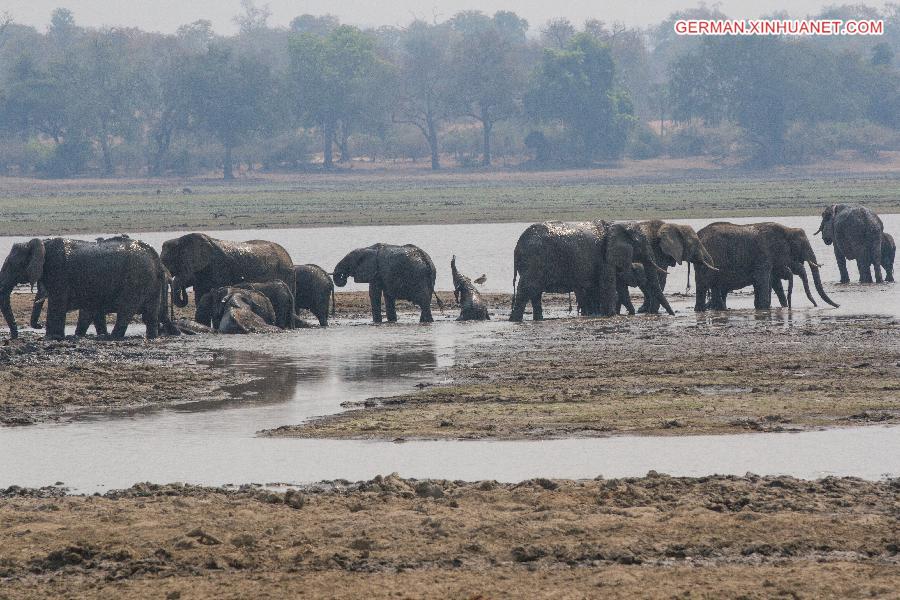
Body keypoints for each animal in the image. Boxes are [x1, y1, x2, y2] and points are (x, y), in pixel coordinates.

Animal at [1, 236, 169, 338]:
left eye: (11, 265)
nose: (38, 325)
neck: (42, 244)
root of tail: (156, 261)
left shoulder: (58, 272)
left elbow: (57, 306)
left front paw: (52, 337)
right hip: (150, 282)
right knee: (150, 316)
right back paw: (150, 337)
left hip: (136, 280)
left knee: (125, 311)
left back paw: (111, 338)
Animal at [510, 220, 672, 322]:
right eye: (642, 243)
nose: (673, 315)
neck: (616, 225)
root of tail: (517, 247)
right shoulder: (604, 259)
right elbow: (607, 287)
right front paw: (611, 316)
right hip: (534, 260)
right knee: (526, 289)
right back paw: (515, 320)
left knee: (535, 292)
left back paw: (537, 319)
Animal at [696, 221, 836, 314]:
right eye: (800, 245)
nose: (815, 305)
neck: (787, 229)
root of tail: (699, 235)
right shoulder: (763, 255)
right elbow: (762, 280)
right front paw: (764, 307)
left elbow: (770, 282)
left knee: (709, 286)